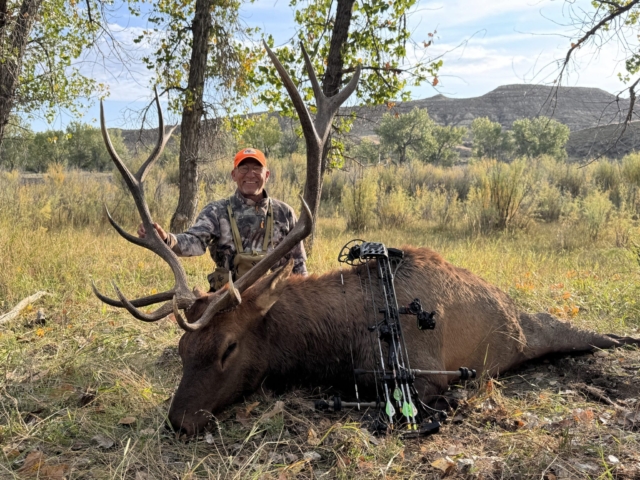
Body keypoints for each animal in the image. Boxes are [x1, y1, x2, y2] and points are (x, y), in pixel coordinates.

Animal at [93, 43, 640, 436]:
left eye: (228, 347)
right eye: (184, 350)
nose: (179, 420)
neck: (339, 338)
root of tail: (511, 307)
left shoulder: (425, 370)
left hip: (535, 330)